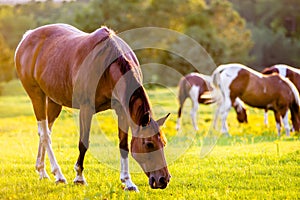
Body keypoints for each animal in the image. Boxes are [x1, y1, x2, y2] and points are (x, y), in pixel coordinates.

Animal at [14, 23, 171, 191]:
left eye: (163, 143)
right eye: (149, 144)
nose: (163, 179)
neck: (107, 64)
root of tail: (27, 37)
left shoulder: (121, 110)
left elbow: (123, 144)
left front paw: (128, 182)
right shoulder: (86, 108)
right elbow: (83, 143)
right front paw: (79, 177)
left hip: (54, 101)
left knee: (45, 132)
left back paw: (42, 171)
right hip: (36, 96)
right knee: (45, 134)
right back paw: (59, 175)